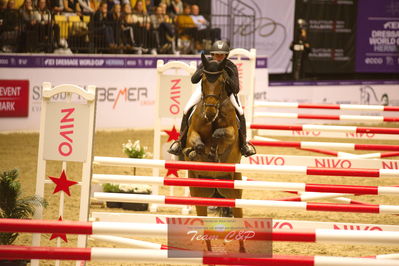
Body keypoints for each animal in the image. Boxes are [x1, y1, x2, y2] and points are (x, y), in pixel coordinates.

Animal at [183, 53, 245, 252]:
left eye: (223, 81)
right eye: (202, 80)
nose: (210, 112)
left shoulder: (231, 133)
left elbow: (220, 135)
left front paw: (214, 151)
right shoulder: (193, 133)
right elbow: (197, 144)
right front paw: (194, 152)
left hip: (234, 193)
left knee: (238, 215)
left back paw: (242, 248)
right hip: (198, 193)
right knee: (203, 218)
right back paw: (207, 248)